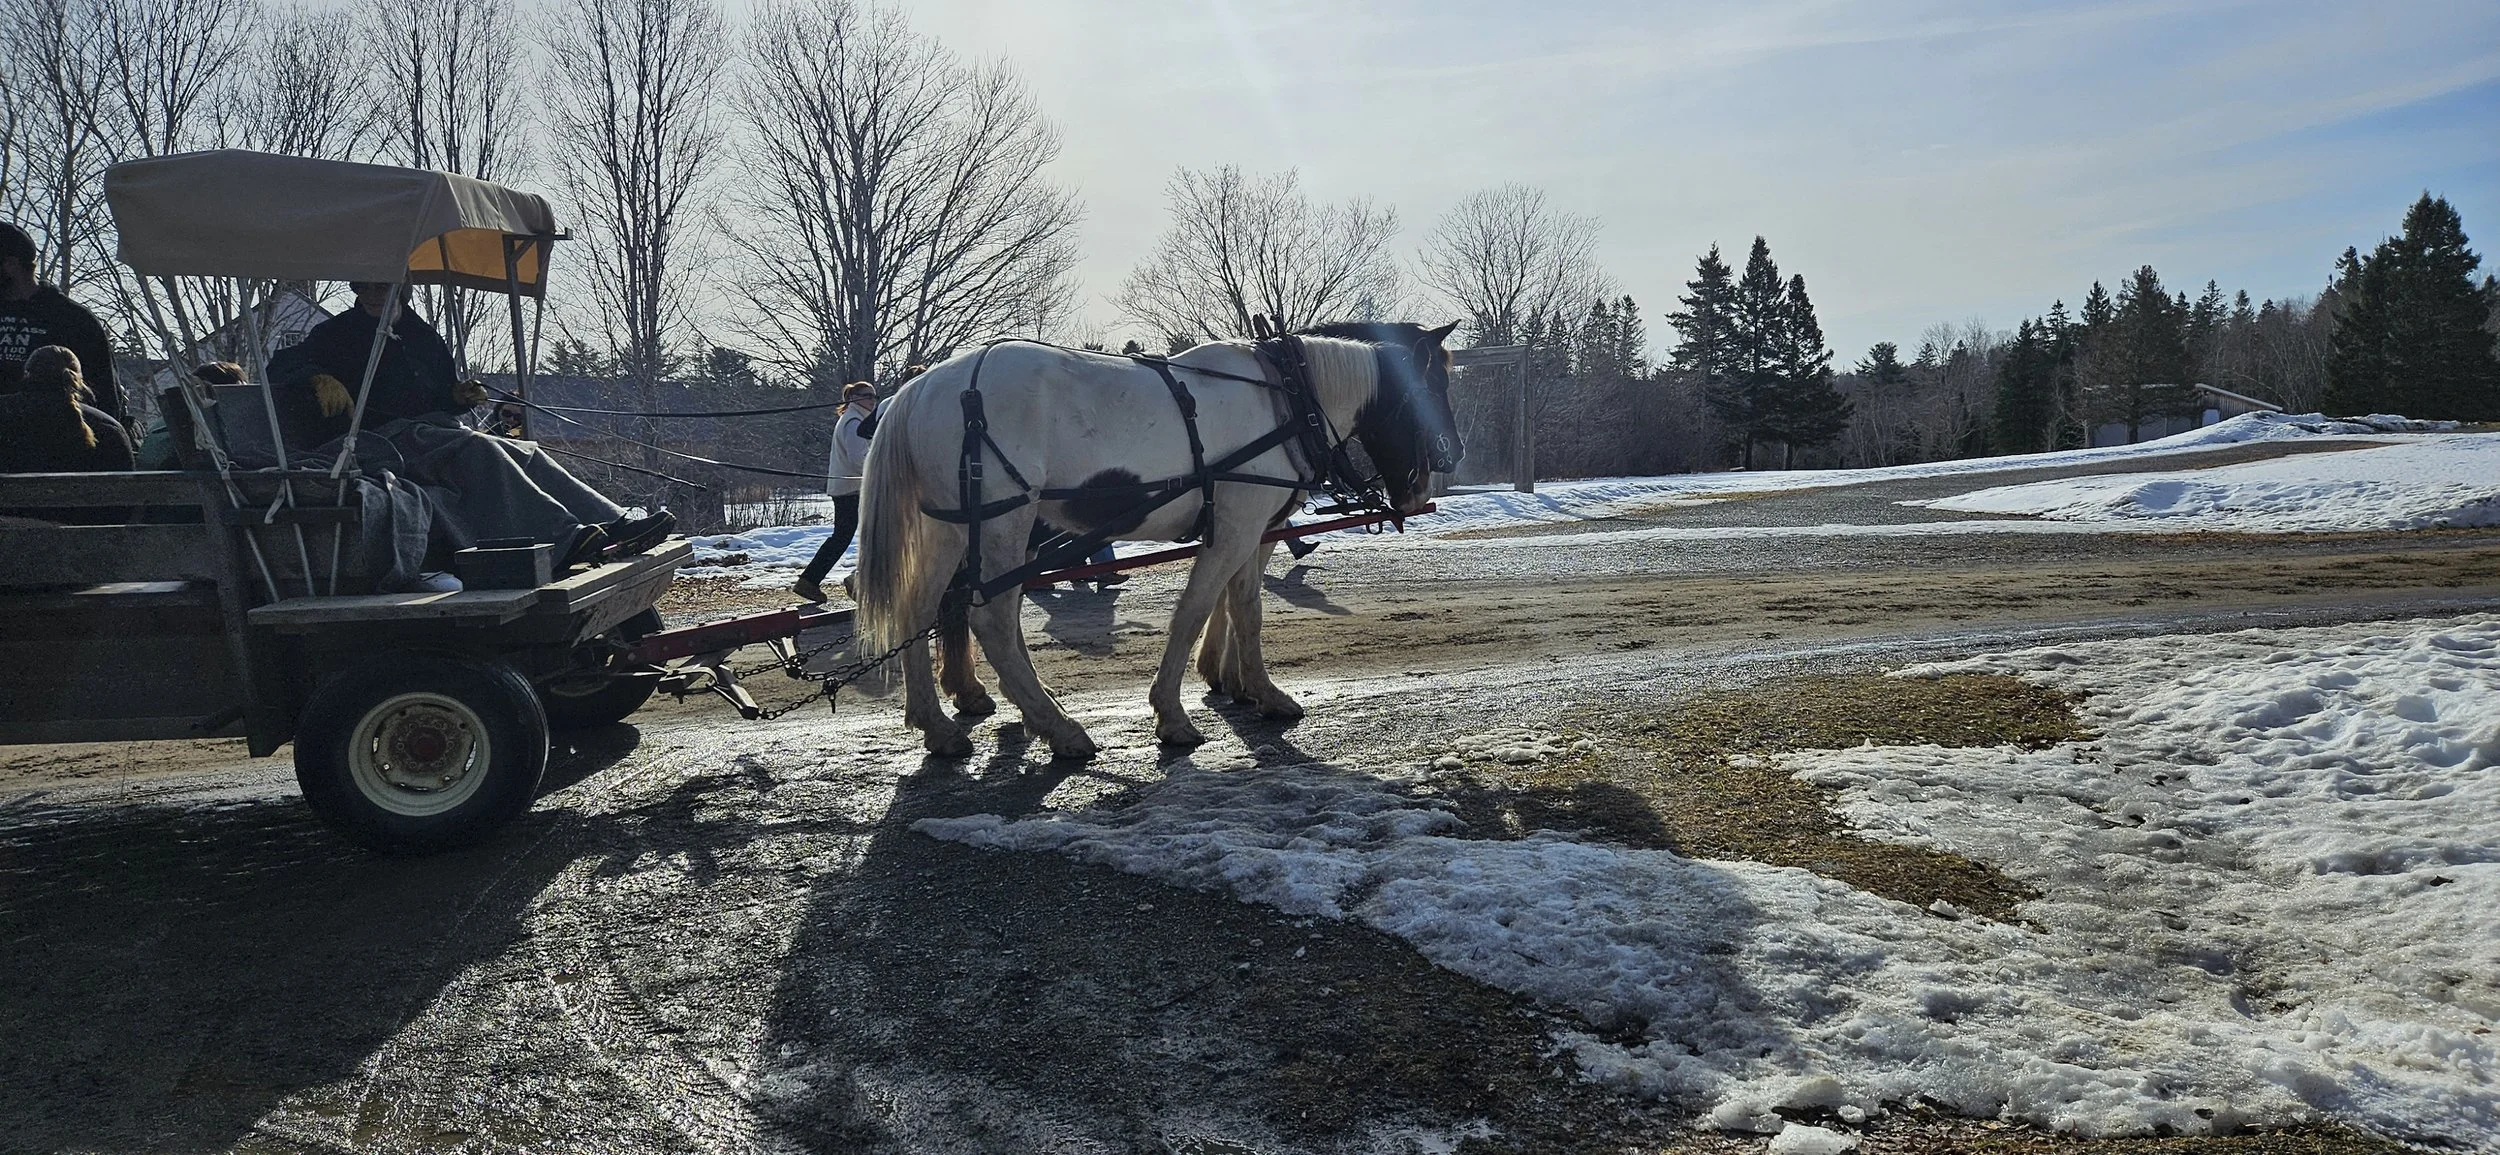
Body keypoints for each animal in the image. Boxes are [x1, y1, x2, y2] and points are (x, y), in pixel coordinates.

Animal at [854, 322, 1462, 758]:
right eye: (1430, 387)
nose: (1449, 457)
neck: (1287, 401)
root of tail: (920, 386)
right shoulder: (1236, 529)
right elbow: (1194, 611)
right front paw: (1173, 713)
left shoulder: (1250, 529)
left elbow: (1245, 610)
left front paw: (1258, 690)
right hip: (1005, 522)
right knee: (992, 620)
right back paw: (1057, 726)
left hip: (950, 527)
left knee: (920, 609)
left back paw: (940, 726)